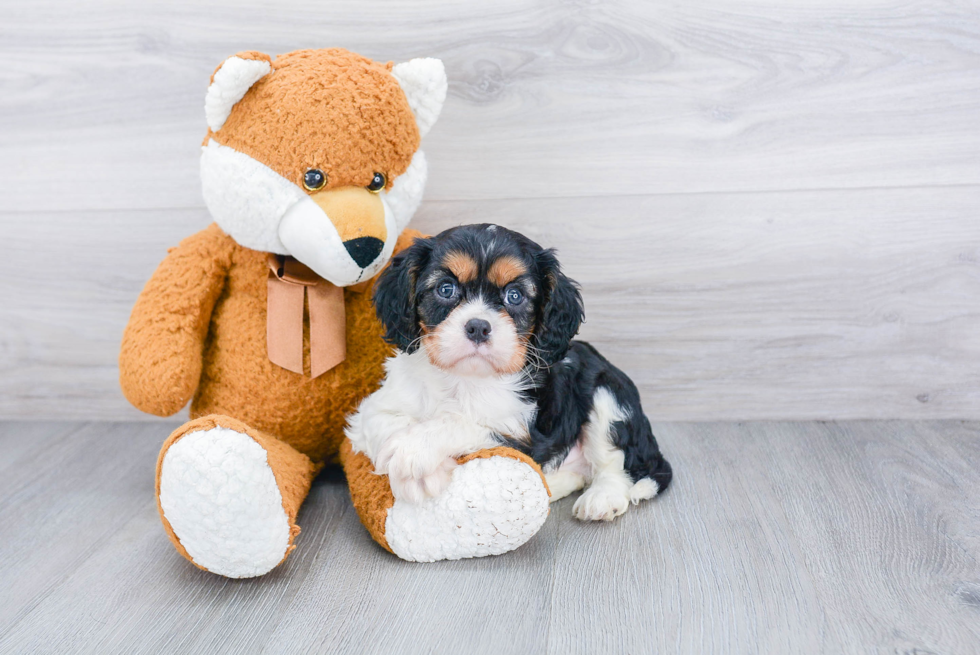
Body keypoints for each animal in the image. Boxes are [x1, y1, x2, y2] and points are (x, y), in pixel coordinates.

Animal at [344, 223, 672, 520]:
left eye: (514, 296)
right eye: (446, 289)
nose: (478, 326)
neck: (462, 379)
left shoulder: (521, 433)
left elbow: (462, 423)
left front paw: (414, 454)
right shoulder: (374, 408)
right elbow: (380, 421)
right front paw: (411, 466)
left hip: (608, 394)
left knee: (616, 463)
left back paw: (602, 499)